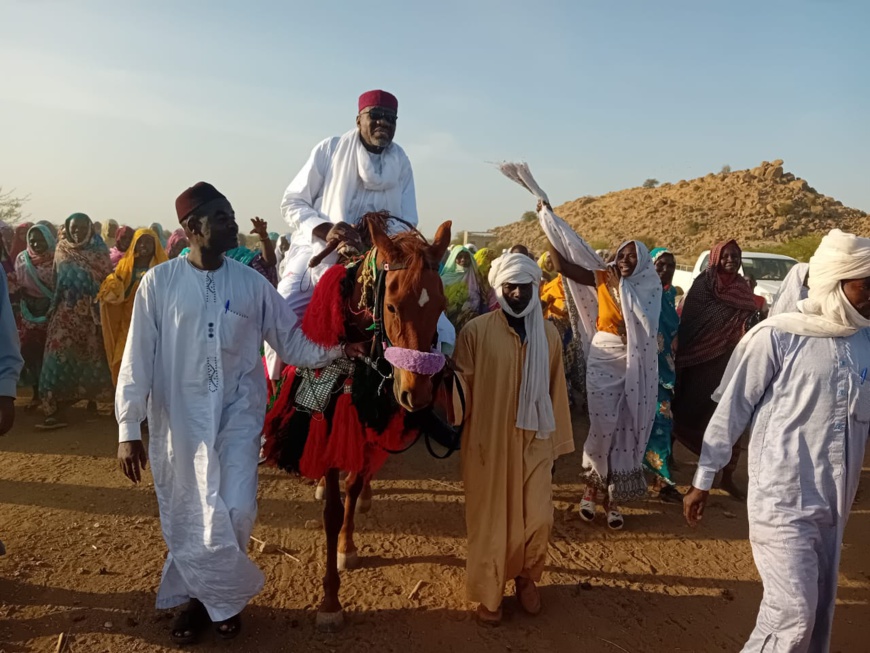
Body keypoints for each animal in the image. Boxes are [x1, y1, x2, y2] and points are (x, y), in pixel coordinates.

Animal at [266, 215, 454, 632]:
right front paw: (330, 600)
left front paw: (347, 547)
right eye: (392, 306)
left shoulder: (364, 426)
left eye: (441, 305)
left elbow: (352, 490)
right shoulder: (331, 423)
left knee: (364, 478)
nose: (416, 394)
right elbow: (334, 510)